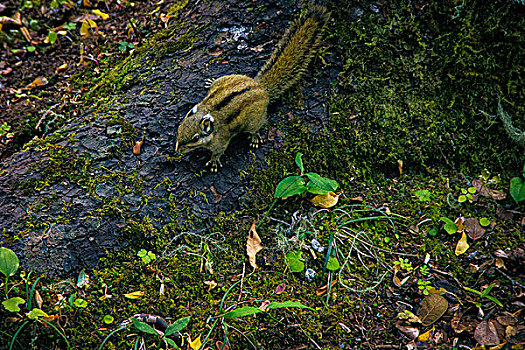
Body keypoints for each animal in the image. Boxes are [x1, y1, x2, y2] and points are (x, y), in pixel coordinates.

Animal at [177, 5, 332, 170]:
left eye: (196, 137)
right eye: (180, 129)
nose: (178, 149)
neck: (210, 115)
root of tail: (260, 86)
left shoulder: (221, 140)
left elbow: (219, 151)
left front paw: (213, 161)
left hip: (254, 120)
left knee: (256, 127)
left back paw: (254, 137)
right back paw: (211, 82)